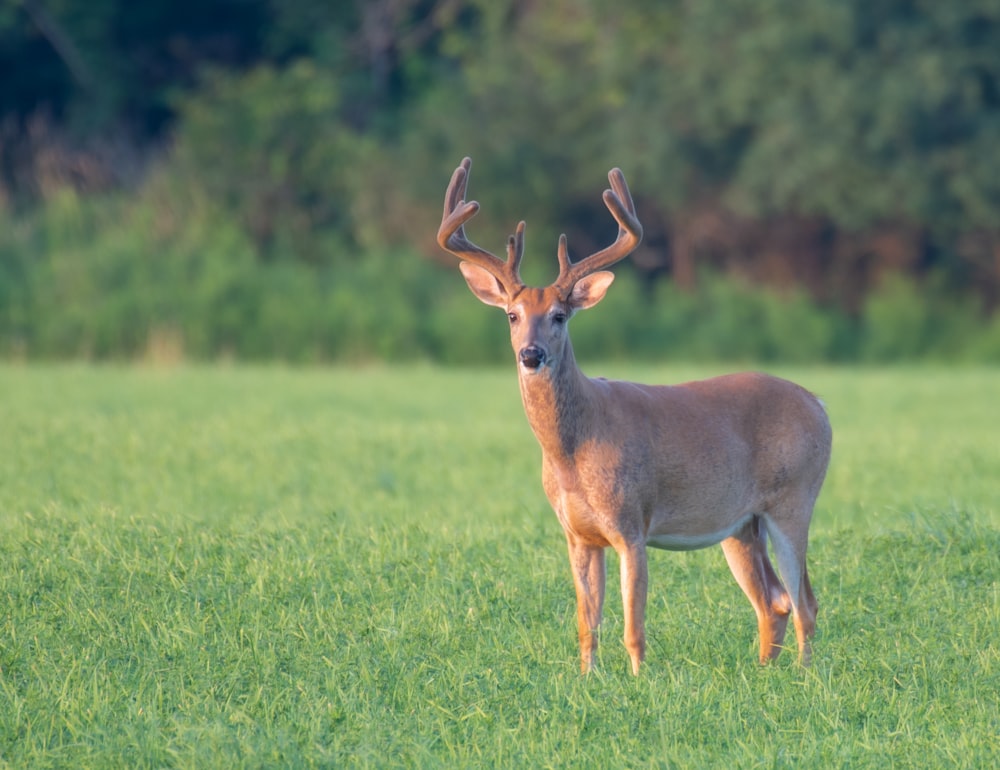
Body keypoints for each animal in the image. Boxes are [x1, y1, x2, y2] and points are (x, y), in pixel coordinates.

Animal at [434, 156, 832, 672]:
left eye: (560, 315)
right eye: (511, 315)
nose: (531, 354)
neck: (573, 451)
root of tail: (819, 403)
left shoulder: (632, 523)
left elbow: (633, 626)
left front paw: (639, 680)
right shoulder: (577, 535)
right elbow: (587, 623)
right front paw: (587, 679)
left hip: (794, 498)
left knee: (805, 602)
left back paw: (804, 677)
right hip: (742, 524)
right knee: (774, 602)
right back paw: (765, 671)